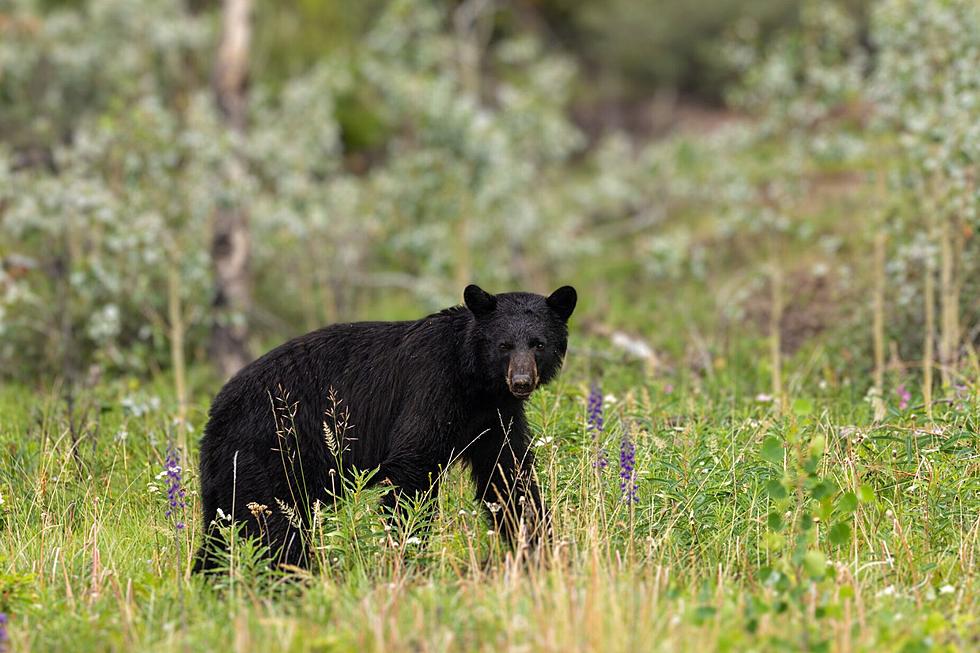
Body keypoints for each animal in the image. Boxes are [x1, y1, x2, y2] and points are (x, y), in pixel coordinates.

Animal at [193, 282, 576, 568]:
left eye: (538, 344)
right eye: (504, 345)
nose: (522, 381)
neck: (475, 382)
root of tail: (214, 414)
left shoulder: (495, 417)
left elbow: (508, 476)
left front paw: (540, 547)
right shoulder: (432, 387)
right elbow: (413, 466)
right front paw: (405, 552)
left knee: (222, 529)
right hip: (270, 452)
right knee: (270, 526)